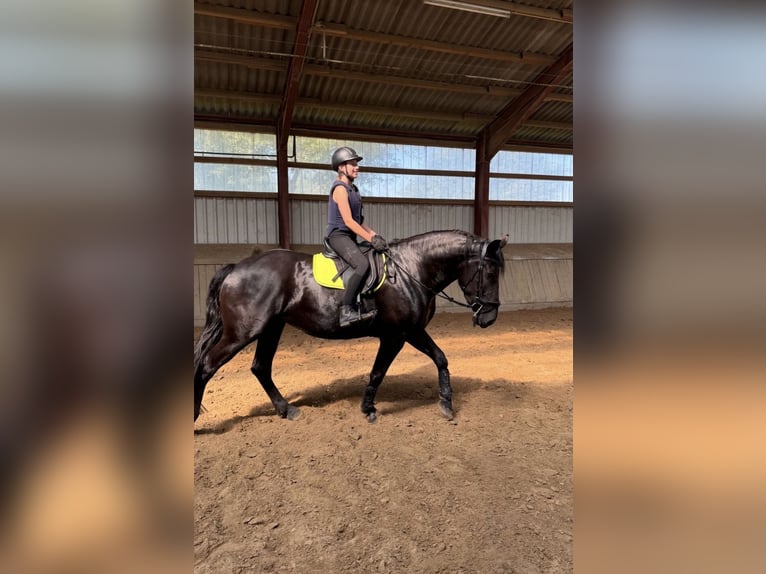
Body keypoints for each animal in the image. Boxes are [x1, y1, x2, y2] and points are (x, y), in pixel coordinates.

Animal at [194, 230, 507, 424]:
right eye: (491, 272)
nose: (489, 318)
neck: (411, 270)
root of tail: (235, 268)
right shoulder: (398, 335)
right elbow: (378, 372)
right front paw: (368, 409)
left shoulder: (412, 332)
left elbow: (441, 358)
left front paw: (446, 404)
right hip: (243, 332)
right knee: (208, 366)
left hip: (271, 329)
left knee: (260, 367)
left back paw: (287, 410)